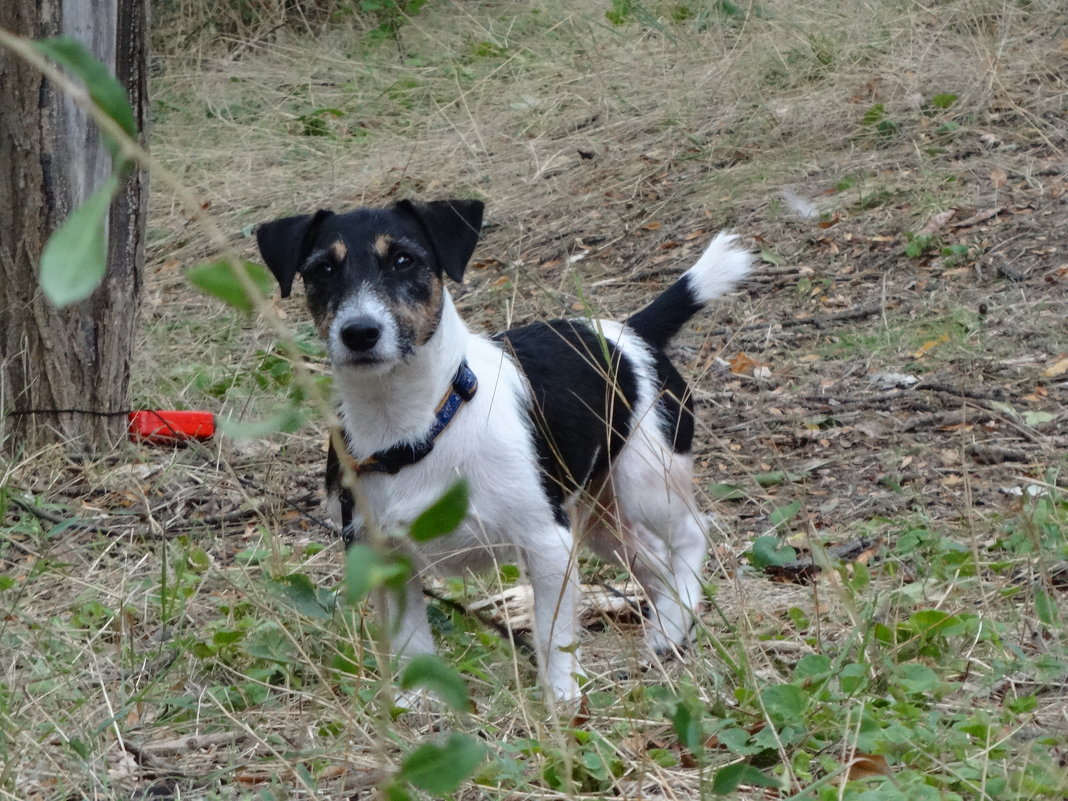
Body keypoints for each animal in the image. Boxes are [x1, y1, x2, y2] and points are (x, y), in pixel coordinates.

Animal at [255, 199, 751, 700]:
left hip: (645, 483)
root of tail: (630, 333)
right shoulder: (385, 557)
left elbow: (553, 637)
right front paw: (419, 703)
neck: (420, 425)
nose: (359, 332)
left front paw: (562, 701)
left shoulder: (548, 544)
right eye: (322, 269)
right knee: (651, 560)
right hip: (600, 520)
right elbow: (411, 642)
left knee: (692, 534)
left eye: (403, 260)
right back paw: (664, 623)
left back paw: (672, 625)